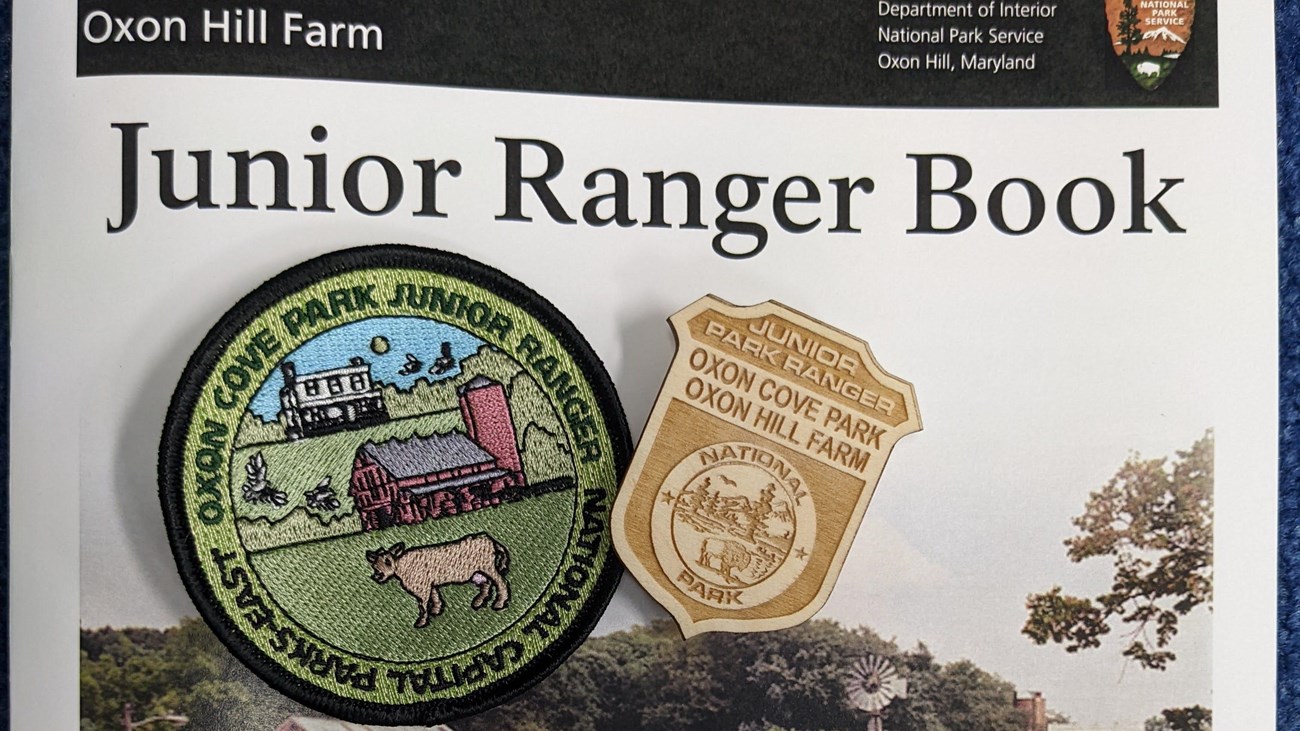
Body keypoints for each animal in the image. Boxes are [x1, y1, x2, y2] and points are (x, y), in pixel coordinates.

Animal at [366, 528, 512, 626]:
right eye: (374, 564)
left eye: (388, 561)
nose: (377, 575)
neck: (403, 566)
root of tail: (489, 539)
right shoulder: (429, 583)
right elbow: (435, 596)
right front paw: (436, 610)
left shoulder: (421, 586)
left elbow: (422, 605)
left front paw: (421, 621)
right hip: (477, 572)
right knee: (486, 583)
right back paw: (479, 602)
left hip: (488, 567)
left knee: (501, 582)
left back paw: (499, 603)